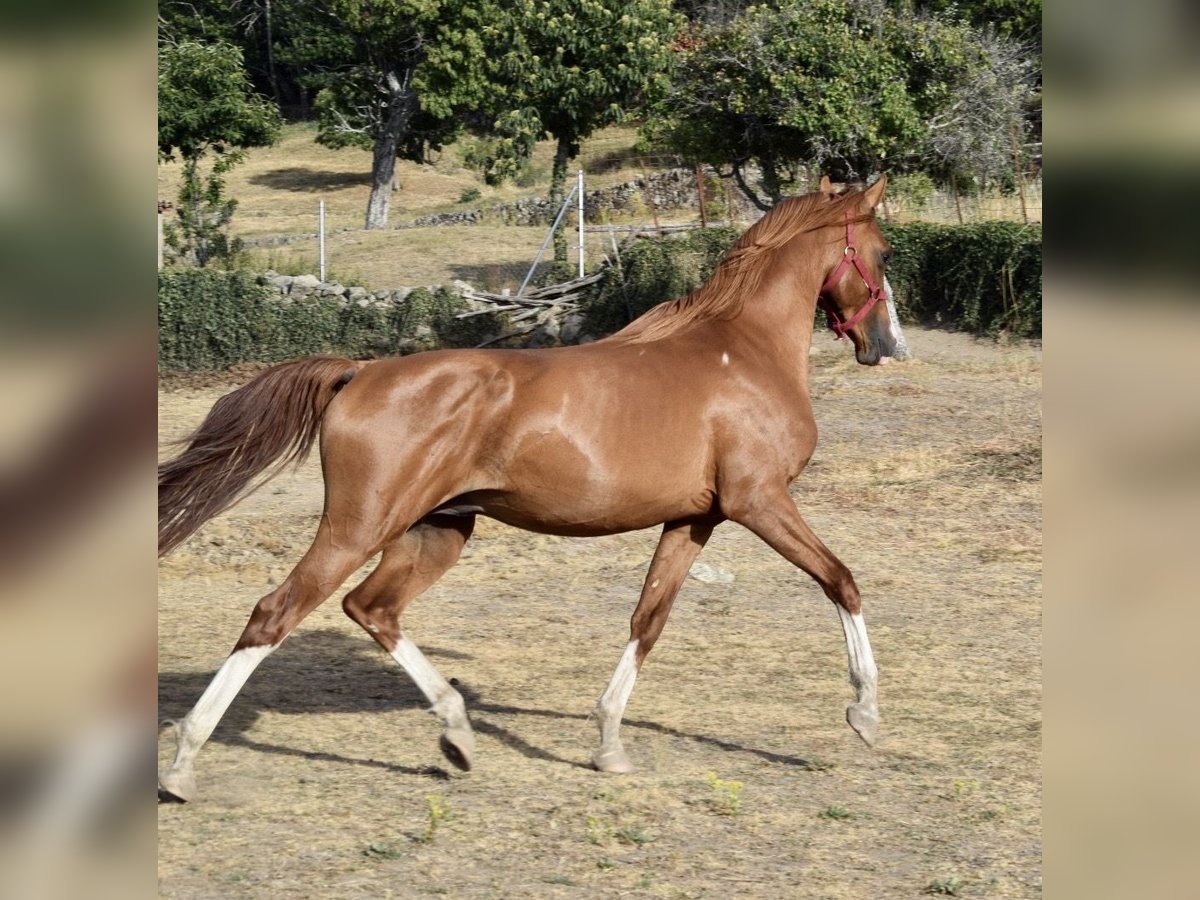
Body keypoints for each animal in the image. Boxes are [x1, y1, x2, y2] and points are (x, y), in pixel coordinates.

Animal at [157, 176, 902, 801]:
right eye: (884, 252)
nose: (887, 345)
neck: (743, 350)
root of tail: (358, 372)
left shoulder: (696, 519)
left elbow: (648, 619)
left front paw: (608, 746)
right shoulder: (760, 501)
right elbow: (841, 580)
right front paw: (864, 713)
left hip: (437, 531)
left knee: (371, 609)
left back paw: (457, 736)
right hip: (359, 527)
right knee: (275, 613)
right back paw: (182, 767)